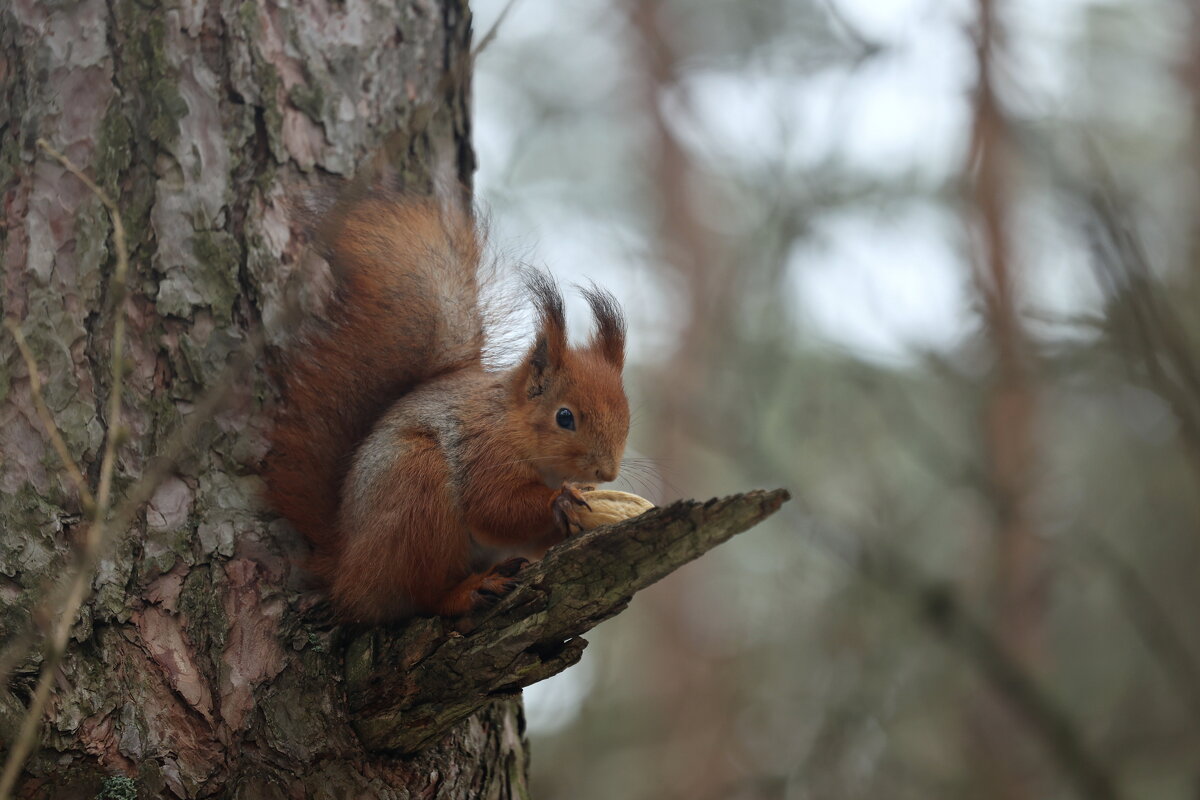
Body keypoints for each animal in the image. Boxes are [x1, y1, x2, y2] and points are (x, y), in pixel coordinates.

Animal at [264, 190, 633, 623]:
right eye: (565, 417)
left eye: (627, 417)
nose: (606, 473)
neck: (513, 424)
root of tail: (345, 566)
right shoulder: (484, 450)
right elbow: (494, 507)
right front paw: (558, 501)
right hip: (415, 495)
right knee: (420, 597)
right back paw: (467, 591)